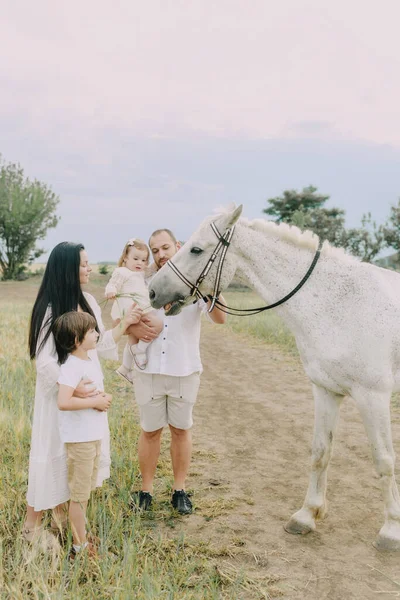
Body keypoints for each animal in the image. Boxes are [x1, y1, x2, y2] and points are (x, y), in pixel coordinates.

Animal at [148, 204, 400, 552]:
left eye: (196, 249)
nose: (152, 291)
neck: (338, 304)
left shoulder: (373, 396)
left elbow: (384, 461)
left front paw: (391, 530)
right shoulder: (326, 390)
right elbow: (320, 452)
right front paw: (307, 515)